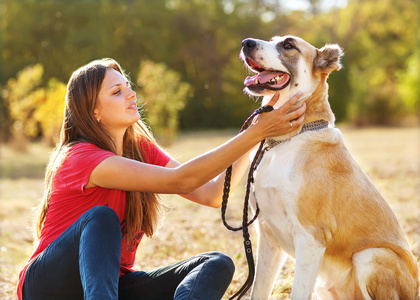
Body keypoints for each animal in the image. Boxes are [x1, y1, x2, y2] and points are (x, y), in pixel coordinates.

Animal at [240, 35, 420, 300]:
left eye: (288, 45)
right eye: (273, 40)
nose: (246, 42)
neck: (287, 140)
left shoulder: (310, 239)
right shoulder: (268, 236)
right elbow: (259, 291)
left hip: (371, 255)